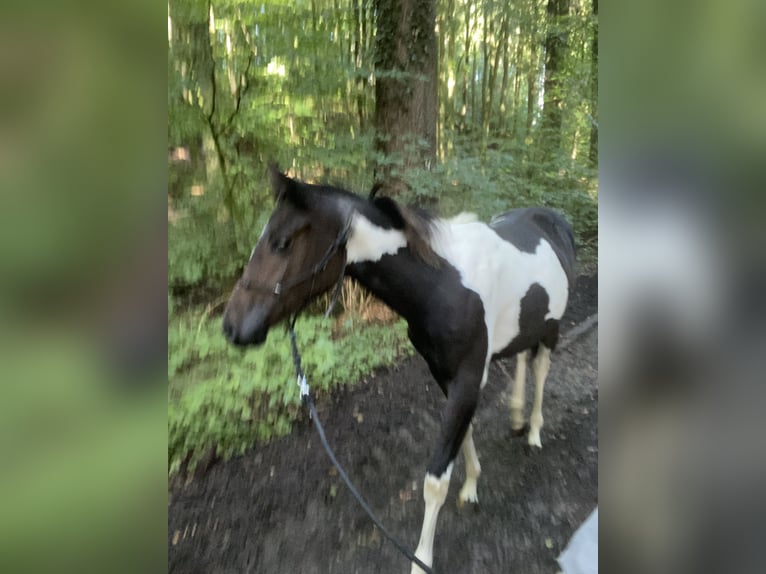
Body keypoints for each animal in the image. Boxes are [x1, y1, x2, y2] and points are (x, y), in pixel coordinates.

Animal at [222, 164, 576, 572]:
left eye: (282, 242)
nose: (231, 326)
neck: (442, 285)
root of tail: (553, 218)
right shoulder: (446, 375)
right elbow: (465, 434)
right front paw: (471, 486)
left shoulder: (467, 379)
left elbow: (436, 479)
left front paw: (421, 559)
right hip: (527, 327)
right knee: (521, 358)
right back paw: (517, 418)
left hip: (552, 329)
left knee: (541, 369)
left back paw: (533, 432)